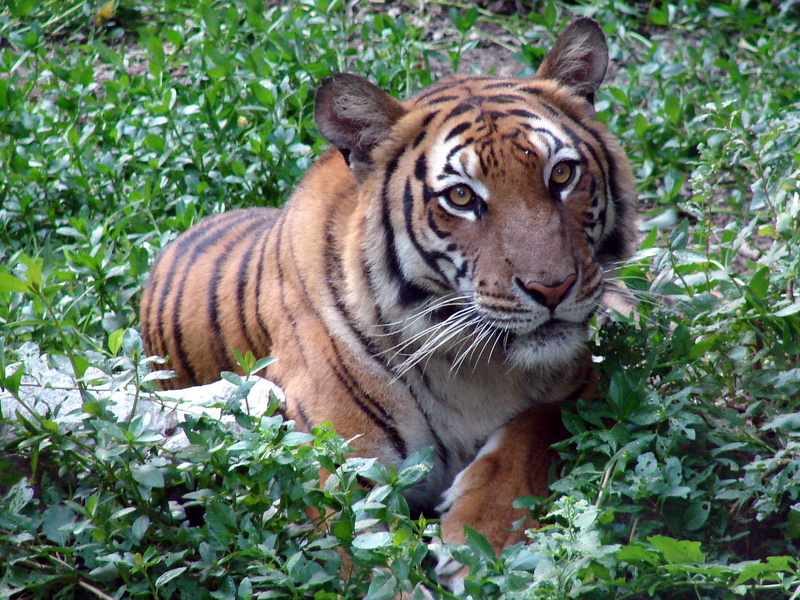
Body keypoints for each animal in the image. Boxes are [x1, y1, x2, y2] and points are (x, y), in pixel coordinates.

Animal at [139, 17, 637, 592]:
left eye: (561, 175)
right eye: (461, 197)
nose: (552, 289)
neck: (476, 367)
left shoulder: (587, 379)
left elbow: (537, 427)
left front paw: (481, 540)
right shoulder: (329, 466)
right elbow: (361, 567)